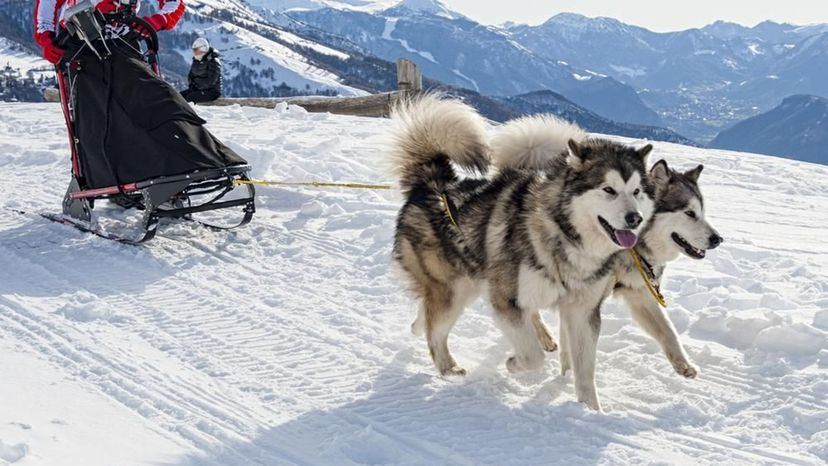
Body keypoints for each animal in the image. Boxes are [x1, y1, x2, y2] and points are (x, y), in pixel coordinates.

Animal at [392, 96, 656, 410]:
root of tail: (432, 184)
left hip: (468, 283)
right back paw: (448, 368)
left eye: (637, 191)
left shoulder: (582, 311)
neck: (564, 234)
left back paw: (418, 325)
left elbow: (585, 372)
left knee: (427, 316)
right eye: (609, 189)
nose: (635, 219)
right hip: (455, 290)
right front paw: (513, 364)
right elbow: (532, 356)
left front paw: (590, 410)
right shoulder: (506, 300)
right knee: (437, 331)